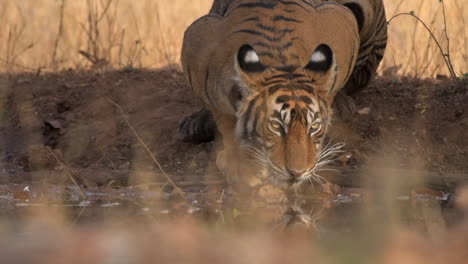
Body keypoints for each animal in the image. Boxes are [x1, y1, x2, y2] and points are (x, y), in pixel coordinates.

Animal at [179, 0, 388, 190]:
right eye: (275, 128)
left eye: (313, 127)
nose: (298, 172)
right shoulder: (197, 42)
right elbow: (225, 120)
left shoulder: (341, 21)